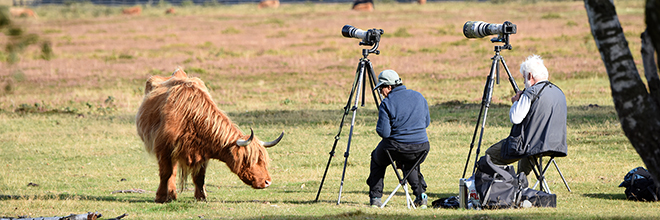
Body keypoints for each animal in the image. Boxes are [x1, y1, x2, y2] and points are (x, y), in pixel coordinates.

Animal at [137, 69, 284, 203]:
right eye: (251, 160)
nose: (268, 182)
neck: (191, 117)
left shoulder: (202, 153)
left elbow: (199, 176)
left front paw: (201, 197)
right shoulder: (164, 148)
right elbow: (165, 173)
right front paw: (160, 197)